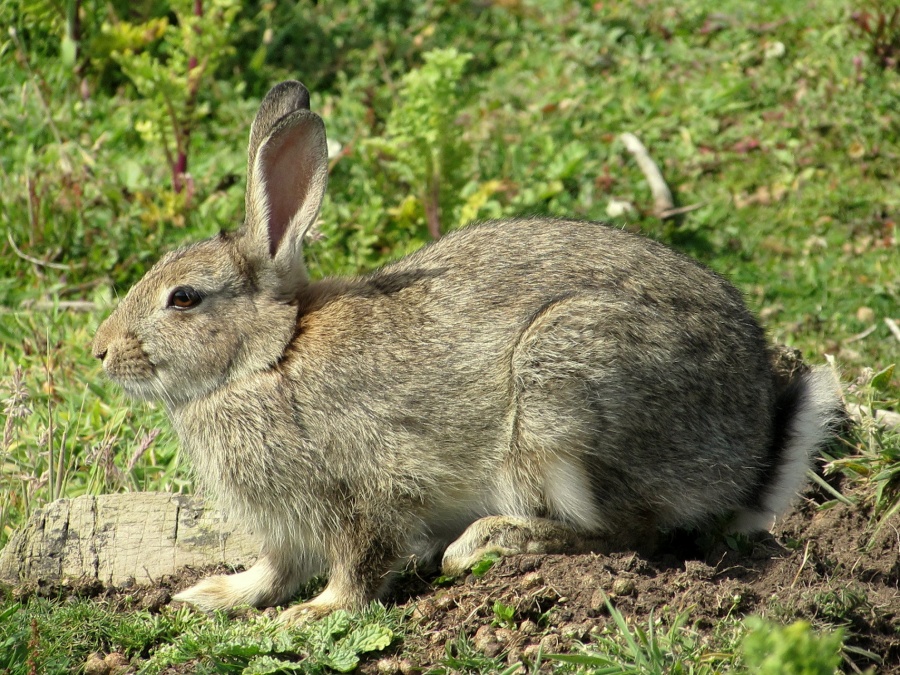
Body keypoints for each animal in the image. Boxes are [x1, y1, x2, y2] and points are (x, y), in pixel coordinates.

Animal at [92, 80, 843, 622]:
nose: (100, 352)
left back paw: (489, 540)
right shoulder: (284, 524)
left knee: (632, 533)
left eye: (184, 298)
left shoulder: (363, 491)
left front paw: (313, 613)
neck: (268, 357)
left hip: (564, 389)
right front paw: (216, 594)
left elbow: (359, 566)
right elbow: (273, 568)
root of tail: (749, 449)